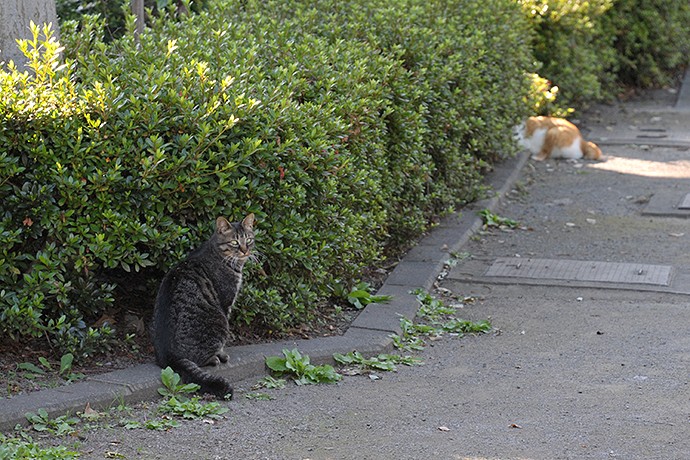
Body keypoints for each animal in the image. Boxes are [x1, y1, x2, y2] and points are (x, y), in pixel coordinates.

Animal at [150, 214, 255, 398]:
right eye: (235, 242)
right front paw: (222, 354)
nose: (245, 251)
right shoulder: (226, 302)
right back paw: (214, 359)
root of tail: (168, 356)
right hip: (220, 322)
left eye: (248, 239)